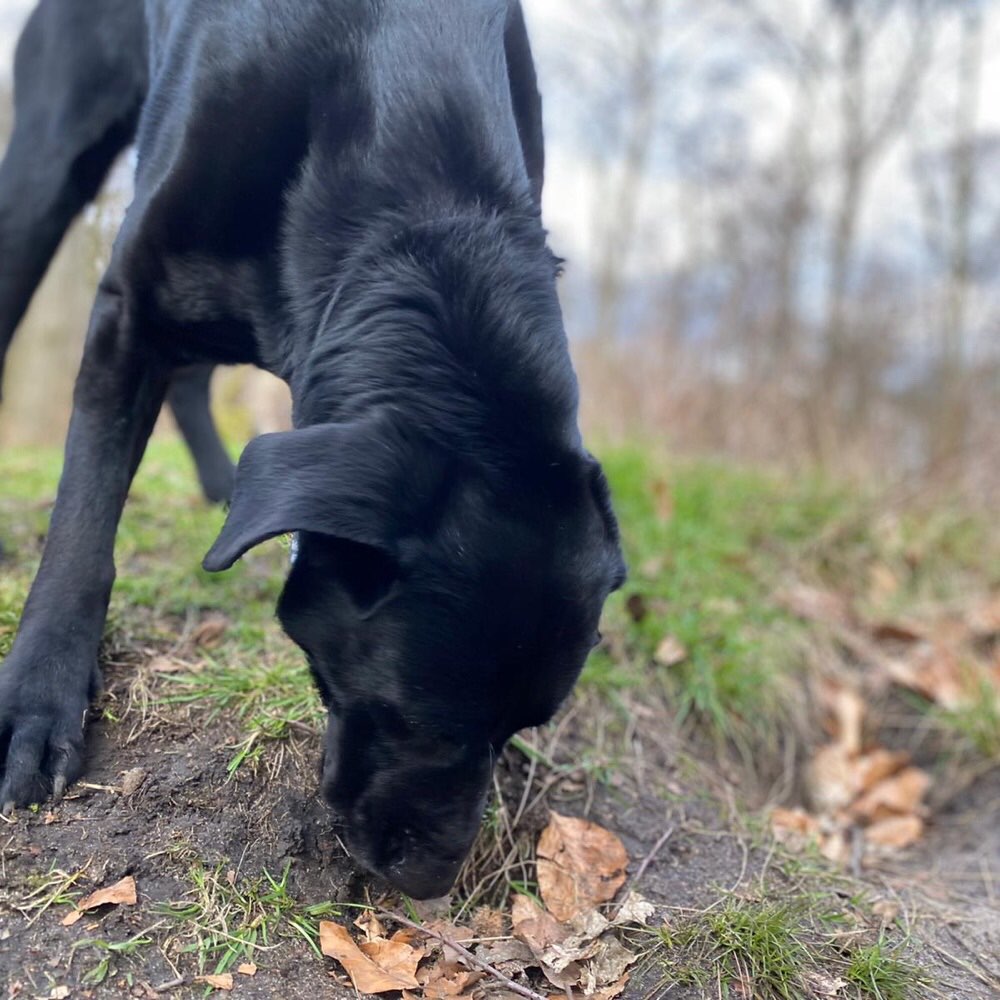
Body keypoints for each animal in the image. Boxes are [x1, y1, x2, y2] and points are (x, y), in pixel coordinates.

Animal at [0, 0, 624, 900]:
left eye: (519, 728)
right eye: (409, 716)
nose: (433, 883)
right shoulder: (129, 304)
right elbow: (83, 520)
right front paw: (40, 699)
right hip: (48, 162)